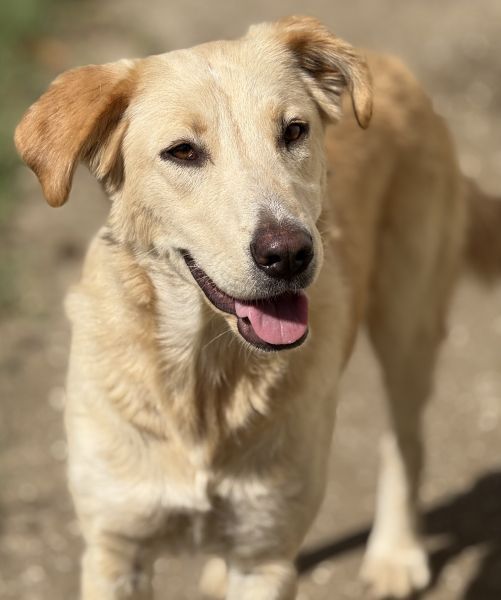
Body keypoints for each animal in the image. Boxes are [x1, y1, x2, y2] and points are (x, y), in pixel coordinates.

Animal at [14, 15, 501, 600]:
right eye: (182, 152)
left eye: (293, 131)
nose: (288, 254)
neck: (201, 377)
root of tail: (390, 64)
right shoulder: (116, 551)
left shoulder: (266, 553)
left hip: (408, 324)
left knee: (405, 440)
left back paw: (395, 554)